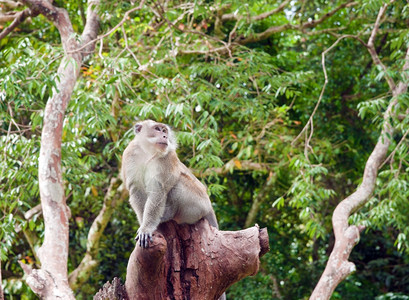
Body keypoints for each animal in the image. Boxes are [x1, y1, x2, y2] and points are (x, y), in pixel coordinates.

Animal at [119, 119, 218, 248]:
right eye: (157, 129)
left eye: (164, 130)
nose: (165, 136)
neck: (148, 152)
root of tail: (210, 207)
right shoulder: (130, 154)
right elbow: (136, 189)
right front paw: (143, 225)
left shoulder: (168, 156)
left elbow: (158, 190)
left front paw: (146, 228)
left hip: (199, 204)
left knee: (178, 182)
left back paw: (166, 215)